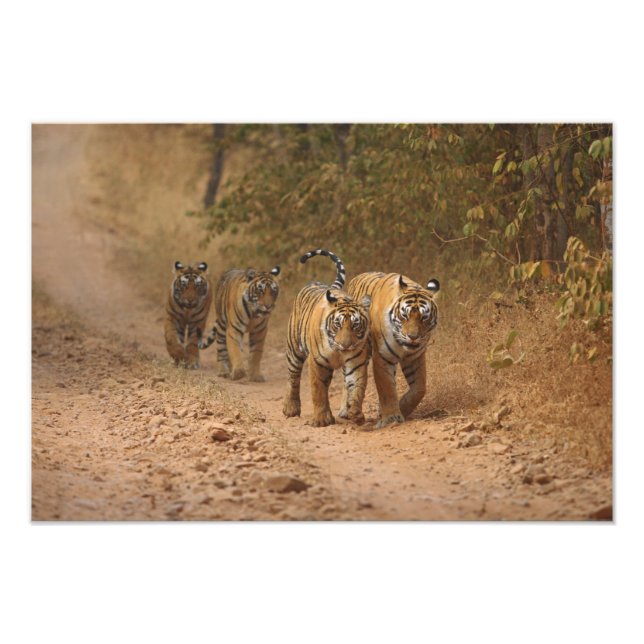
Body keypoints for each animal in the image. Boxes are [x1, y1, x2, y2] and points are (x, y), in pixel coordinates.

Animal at [282, 249, 372, 427]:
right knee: (293, 377)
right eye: (337, 324)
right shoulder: (317, 362)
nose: (345, 345)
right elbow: (318, 390)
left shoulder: (356, 363)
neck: (338, 351)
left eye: (356, 325)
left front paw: (355, 413)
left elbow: (356, 388)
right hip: (294, 350)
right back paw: (291, 408)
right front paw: (322, 419)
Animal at [346, 272, 440, 428]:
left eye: (424, 317)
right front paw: (391, 417)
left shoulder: (415, 357)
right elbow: (387, 388)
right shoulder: (383, 357)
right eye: (405, 315)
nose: (413, 337)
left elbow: (419, 388)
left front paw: (402, 408)